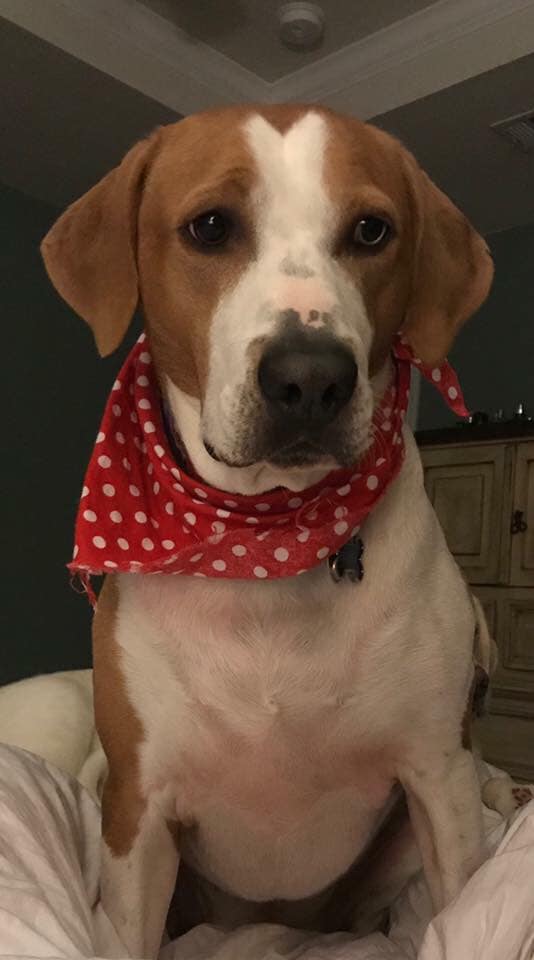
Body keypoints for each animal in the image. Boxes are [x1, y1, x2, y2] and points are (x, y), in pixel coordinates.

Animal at [40, 101, 494, 956]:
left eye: (372, 231)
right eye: (211, 227)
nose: (310, 378)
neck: (266, 546)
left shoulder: (440, 778)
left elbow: (464, 913)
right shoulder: (139, 809)